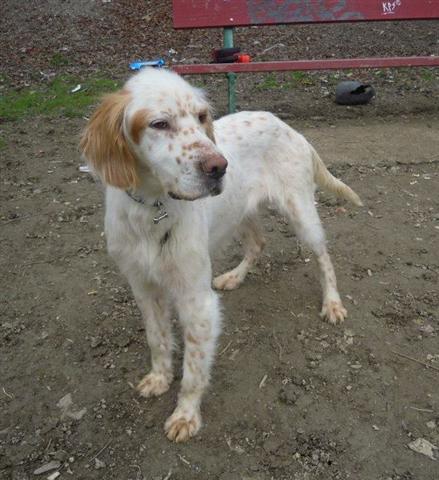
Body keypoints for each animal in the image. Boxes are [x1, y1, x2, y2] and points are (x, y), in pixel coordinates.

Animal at [81, 67, 362, 442]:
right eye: (159, 123)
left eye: (201, 116)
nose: (219, 166)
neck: (151, 208)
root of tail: (286, 125)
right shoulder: (143, 287)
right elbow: (158, 340)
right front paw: (159, 378)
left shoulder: (196, 300)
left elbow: (194, 368)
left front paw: (186, 414)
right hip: (238, 213)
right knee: (258, 243)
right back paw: (233, 276)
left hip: (301, 214)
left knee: (323, 257)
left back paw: (332, 303)